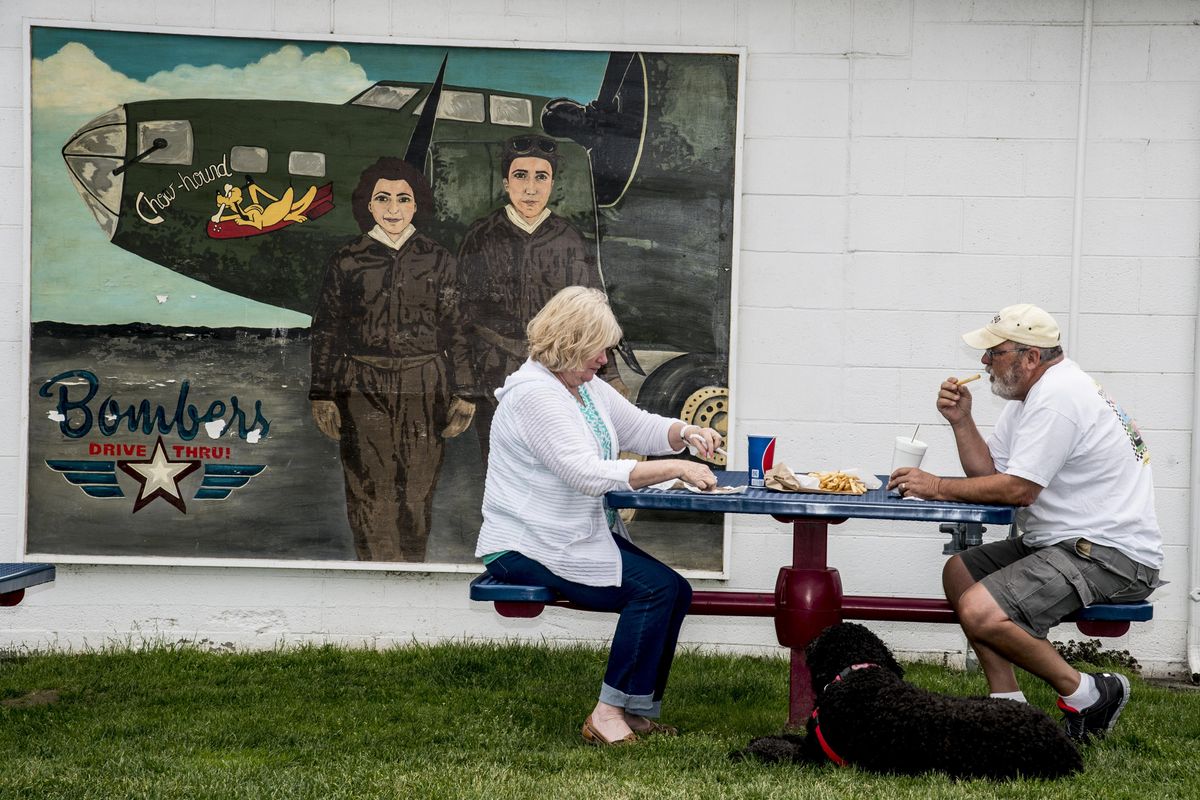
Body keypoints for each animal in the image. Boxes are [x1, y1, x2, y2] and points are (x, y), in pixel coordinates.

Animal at [734, 618, 1084, 782]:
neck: (860, 673)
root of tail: (1067, 749)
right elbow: (782, 737)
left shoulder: (816, 755)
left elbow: (779, 748)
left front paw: (745, 750)